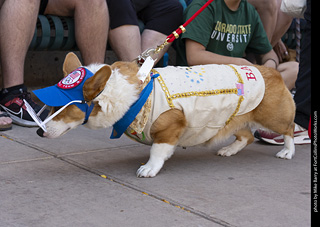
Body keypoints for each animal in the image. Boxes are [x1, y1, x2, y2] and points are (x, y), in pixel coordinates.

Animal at [32, 53, 296, 177]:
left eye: (66, 108)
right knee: (246, 136)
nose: (38, 132)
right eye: (52, 107)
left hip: (272, 117)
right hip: (234, 118)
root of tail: (271, 70)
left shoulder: (170, 127)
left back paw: (287, 151)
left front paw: (149, 168)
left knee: (289, 129)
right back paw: (229, 150)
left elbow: (157, 151)